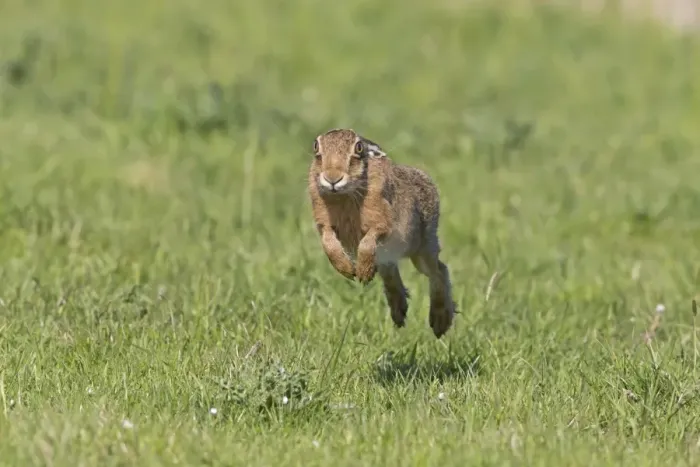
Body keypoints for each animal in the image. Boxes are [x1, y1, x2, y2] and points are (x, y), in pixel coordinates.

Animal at [307, 128, 456, 338]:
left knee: (439, 270)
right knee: (391, 271)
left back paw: (440, 321)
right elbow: (329, 244)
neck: (347, 193)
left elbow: (367, 242)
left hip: (422, 247)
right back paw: (399, 311)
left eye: (358, 148)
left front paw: (362, 273)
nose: (332, 178)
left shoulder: (383, 225)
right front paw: (348, 270)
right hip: (391, 255)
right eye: (316, 147)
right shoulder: (325, 226)